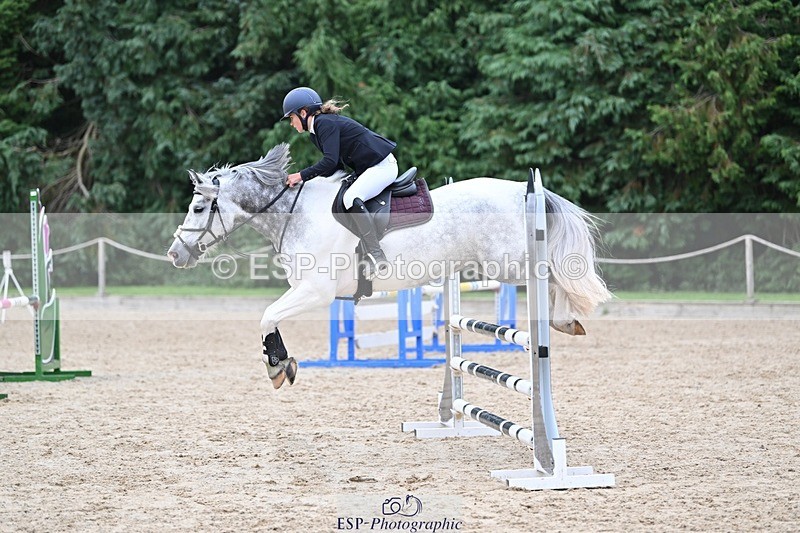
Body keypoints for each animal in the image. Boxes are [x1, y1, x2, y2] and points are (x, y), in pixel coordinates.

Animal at [167, 143, 611, 389]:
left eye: (198, 208)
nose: (175, 254)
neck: (296, 214)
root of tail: (524, 189)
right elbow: (268, 317)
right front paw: (281, 364)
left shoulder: (315, 292)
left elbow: (266, 316)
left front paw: (278, 366)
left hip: (511, 263)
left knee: (553, 272)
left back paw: (563, 318)